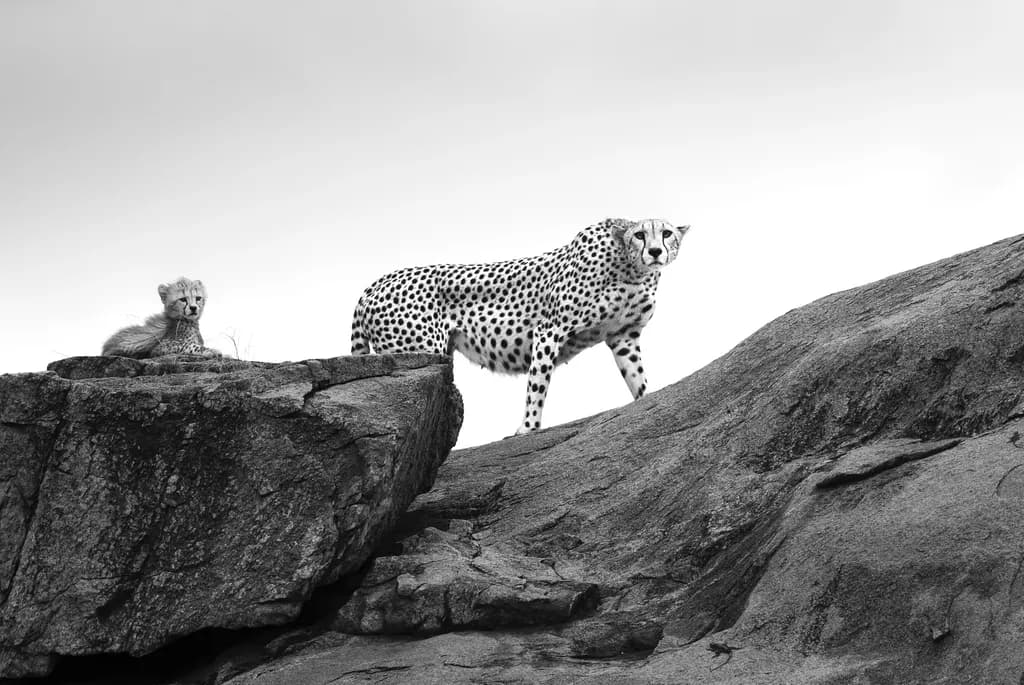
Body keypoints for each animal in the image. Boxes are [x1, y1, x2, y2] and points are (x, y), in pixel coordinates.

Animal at [350, 218, 689, 435]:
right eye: (640, 235)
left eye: (667, 233)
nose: (655, 251)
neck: (631, 269)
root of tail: (375, 283)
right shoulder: (549, 331)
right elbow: (536, 387)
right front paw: (527, 429)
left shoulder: (623, 337)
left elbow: (638, 378)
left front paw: (648, 403)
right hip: (421, 351)